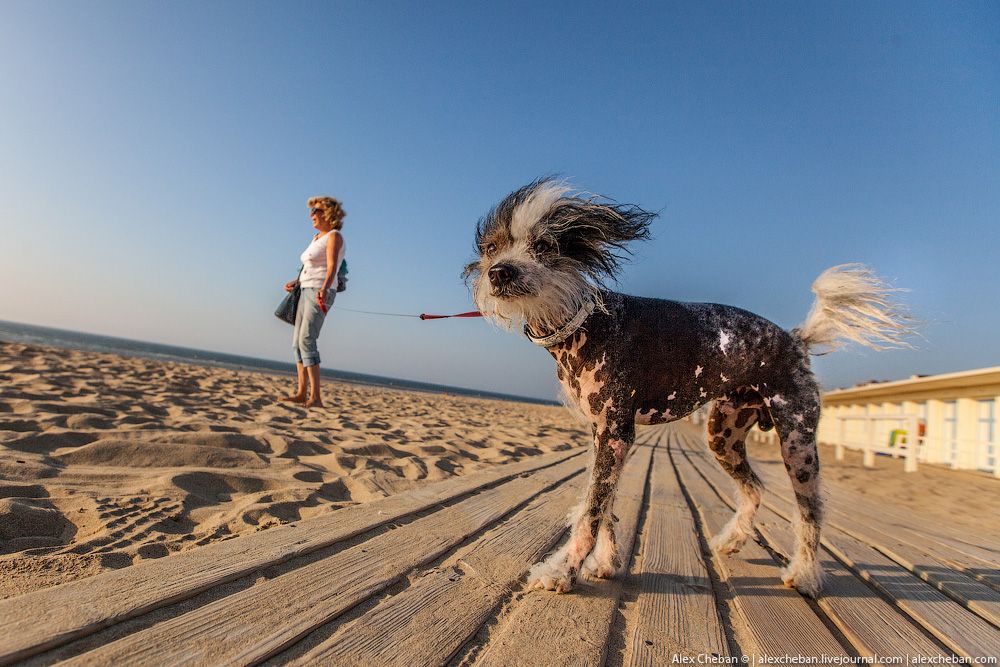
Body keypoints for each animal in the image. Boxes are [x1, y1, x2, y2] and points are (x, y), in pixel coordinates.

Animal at [462, 179, 916, 600]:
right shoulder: (601, 435)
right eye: (492, 246)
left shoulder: (615, 434)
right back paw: (732, 539)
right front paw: (605, 562)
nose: (499, 272)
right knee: (754, 487)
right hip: (723, 434)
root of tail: (795, 338)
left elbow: (591, 512)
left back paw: (804, 573)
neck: (587, 324)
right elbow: (602, 504)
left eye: (544, 245)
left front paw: (563, 571)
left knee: (811, 511)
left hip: (797, 440)